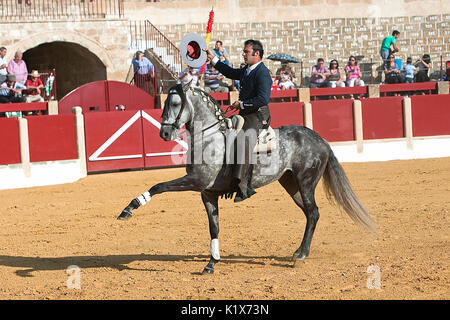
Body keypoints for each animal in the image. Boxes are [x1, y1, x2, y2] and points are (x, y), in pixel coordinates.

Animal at [117, 82, 376, 272]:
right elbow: (214, 227)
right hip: (291, 184)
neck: (209, 137)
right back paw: (298, 252)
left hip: (306, 183)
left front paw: (129, 208)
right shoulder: (207, 193)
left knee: (313, 212)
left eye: (175, 102)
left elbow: (159, 185)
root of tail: (321, 140)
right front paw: (212, 262)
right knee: (310, 214)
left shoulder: (197, 181)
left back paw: (301, 255)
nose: (164, 132)